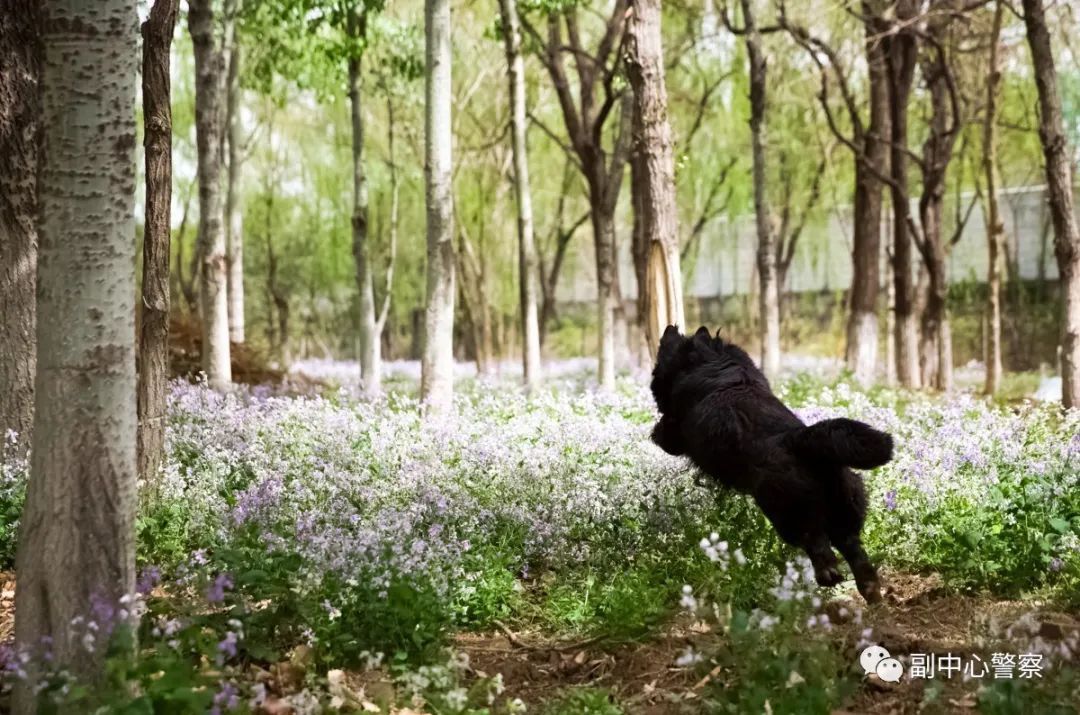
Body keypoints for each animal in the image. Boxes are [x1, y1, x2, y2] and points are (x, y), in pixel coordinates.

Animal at [648, 326, 894, 604]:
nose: (668, 330)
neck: (714, 362)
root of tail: (798, 439)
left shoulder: (678, 426)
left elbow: (669, 430)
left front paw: (656, 432)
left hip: (784, 509)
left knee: (815, 539)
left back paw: (827, 573)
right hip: (845, 506)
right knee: (853, 548)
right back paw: (870, 589)